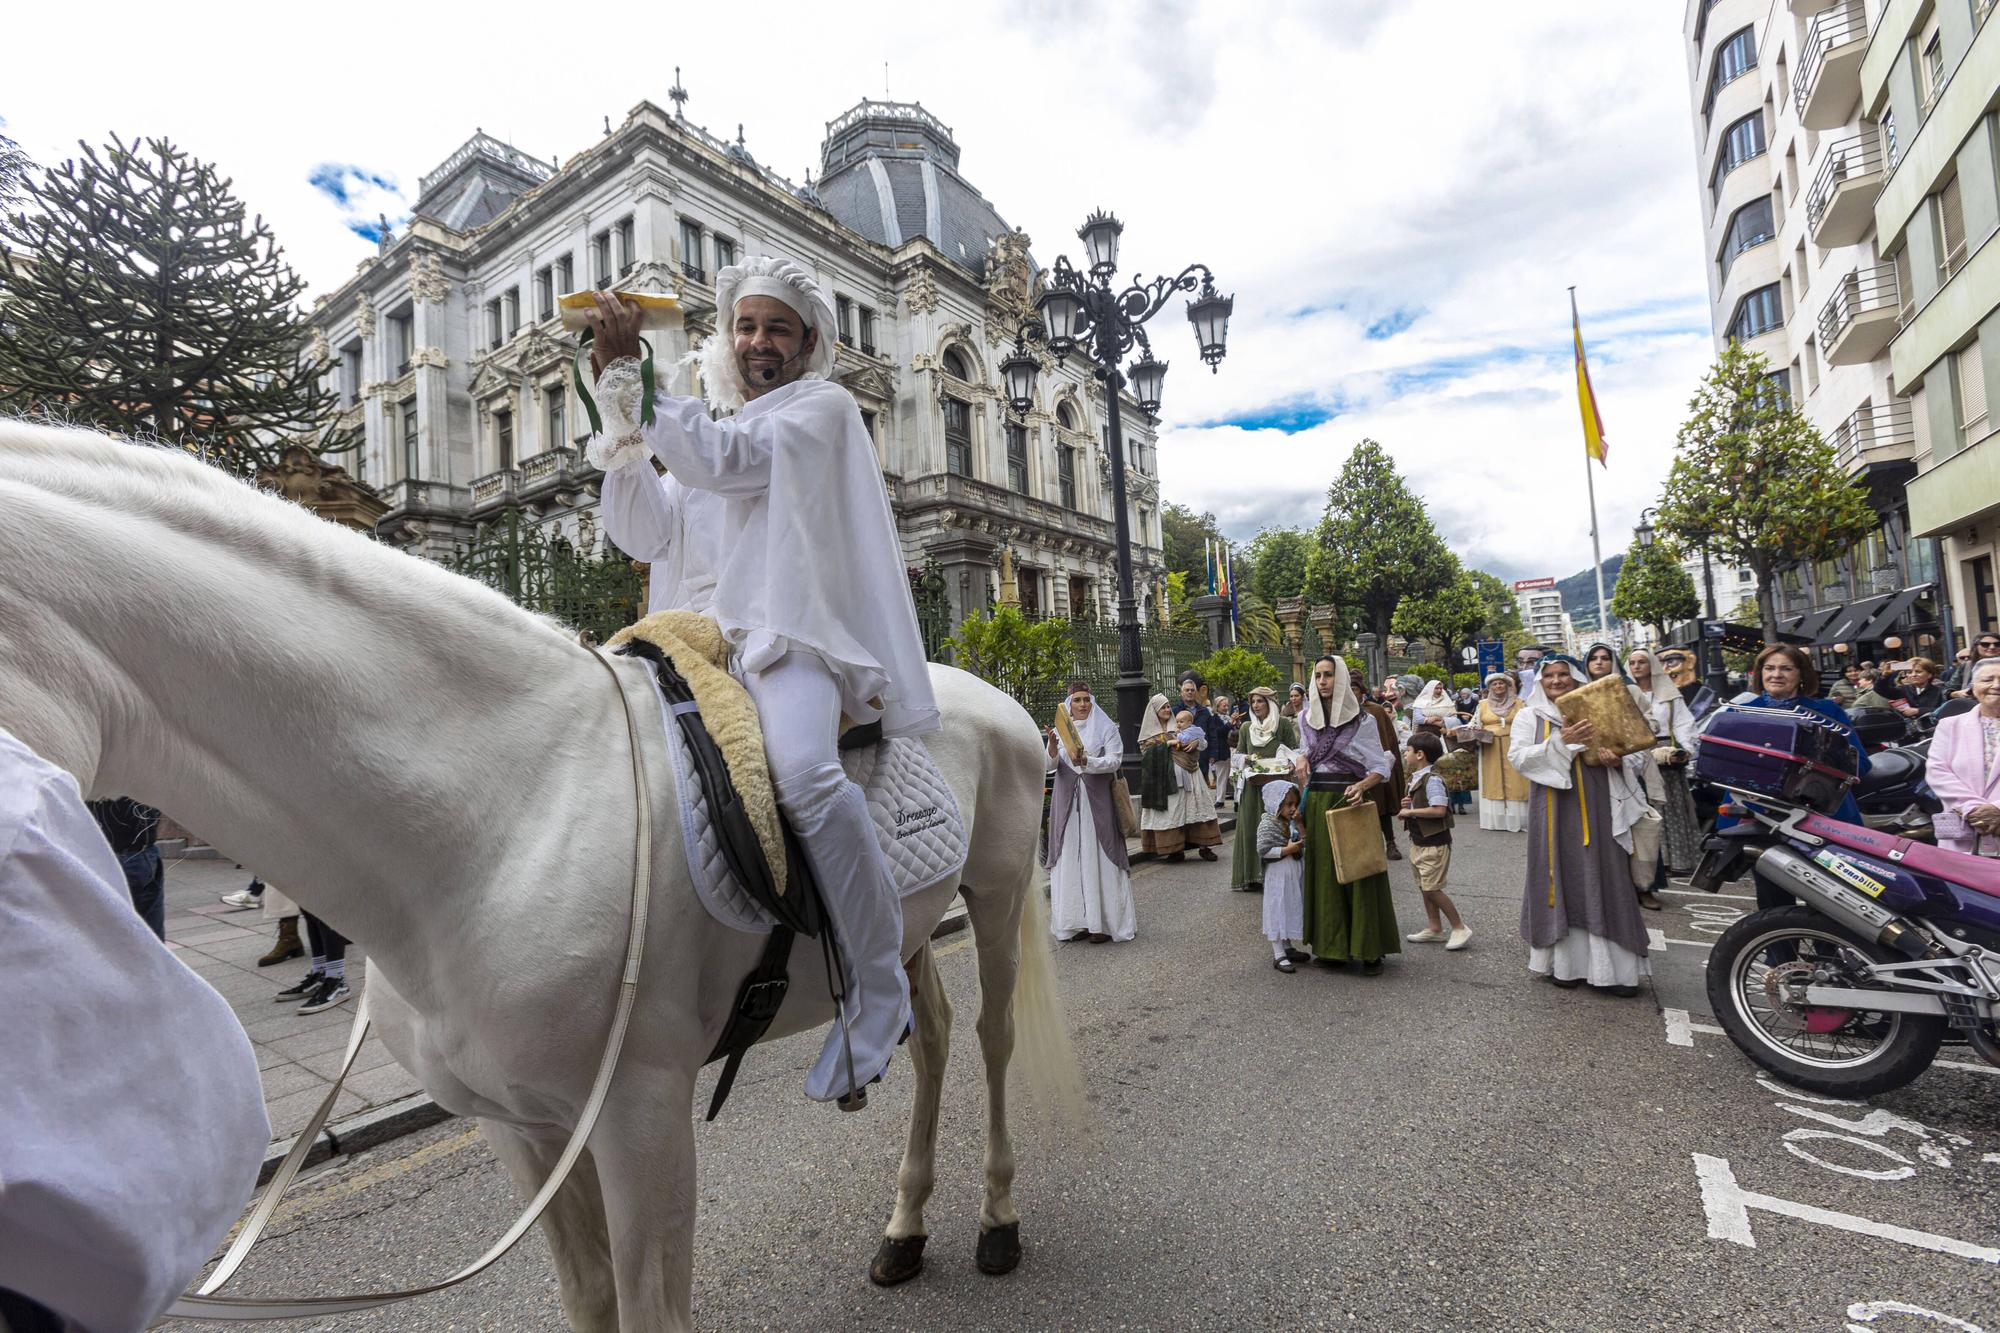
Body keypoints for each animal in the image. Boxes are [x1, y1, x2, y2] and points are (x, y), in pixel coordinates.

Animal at [0, 420, 1080, 1320]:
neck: (501, 812)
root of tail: (995, 696)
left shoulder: (642, 1116)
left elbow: (648, 1305)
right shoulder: (521, 1129)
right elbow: (587, 1296)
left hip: (992, 896)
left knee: (989, 1038)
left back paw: (996, 1219)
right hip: (904, 926)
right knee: (930, 1035)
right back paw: (904, 1226)